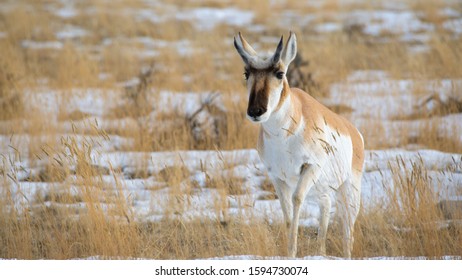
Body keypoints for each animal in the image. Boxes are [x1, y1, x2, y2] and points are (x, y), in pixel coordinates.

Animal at [235, 31, 364, 258]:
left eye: (280, 73)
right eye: (246, 73)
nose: (256, 111)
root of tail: (354, 133)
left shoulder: (310, 167)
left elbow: (296, 200)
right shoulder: (277, 178)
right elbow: (287, 212)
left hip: (349, 192)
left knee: (348, 231)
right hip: (324, 192)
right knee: (325, 215)